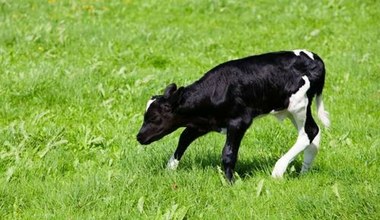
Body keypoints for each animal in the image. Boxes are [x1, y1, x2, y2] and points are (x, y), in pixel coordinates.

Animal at [137, 49, 330, 182]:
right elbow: (183, 138)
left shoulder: (239, 122)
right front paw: (170, 169)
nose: (139, 136)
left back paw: (278, 171)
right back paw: (304, 172)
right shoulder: (204, 123)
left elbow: (228, 153)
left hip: (298, 105)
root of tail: (314, 57)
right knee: (313, 133)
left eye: (154, 118)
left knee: (309, 132)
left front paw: (230, 182)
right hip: (290, 109)